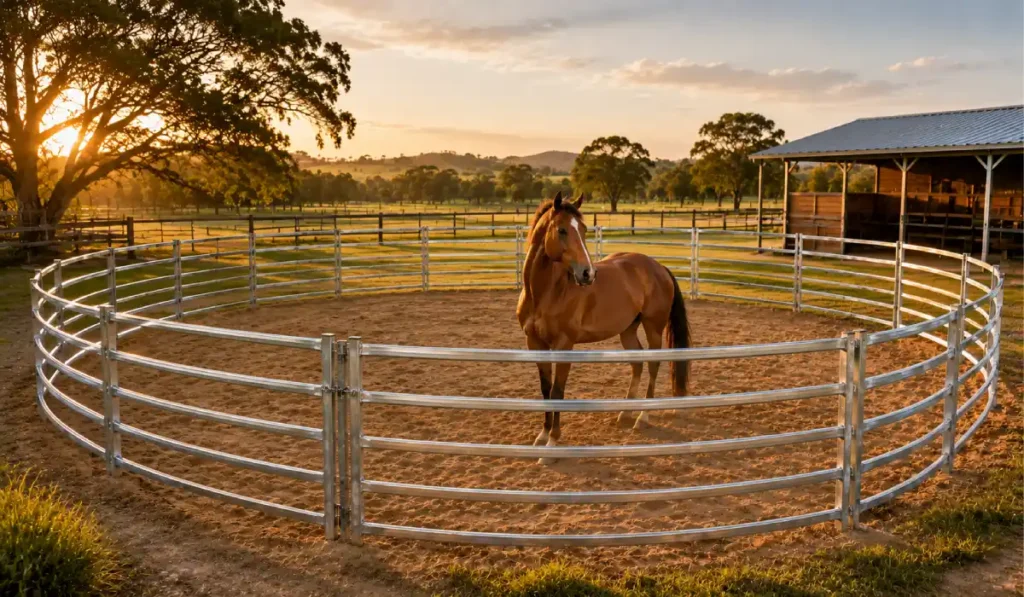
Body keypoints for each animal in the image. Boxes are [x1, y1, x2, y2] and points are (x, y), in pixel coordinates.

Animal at [516, 191, 690, 464]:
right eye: (562, 230)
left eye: (584, 229)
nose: (588, 273)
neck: (545, 293)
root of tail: (659, 267)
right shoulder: (534, 343)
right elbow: (545, 390)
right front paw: (542, 436)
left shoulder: (564, 345)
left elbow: (557, 391)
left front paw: (552, 444)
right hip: (628, 330)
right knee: (638, 362)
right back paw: (625, 413)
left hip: (653, 327)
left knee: (653, 364)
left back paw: (643, 417)